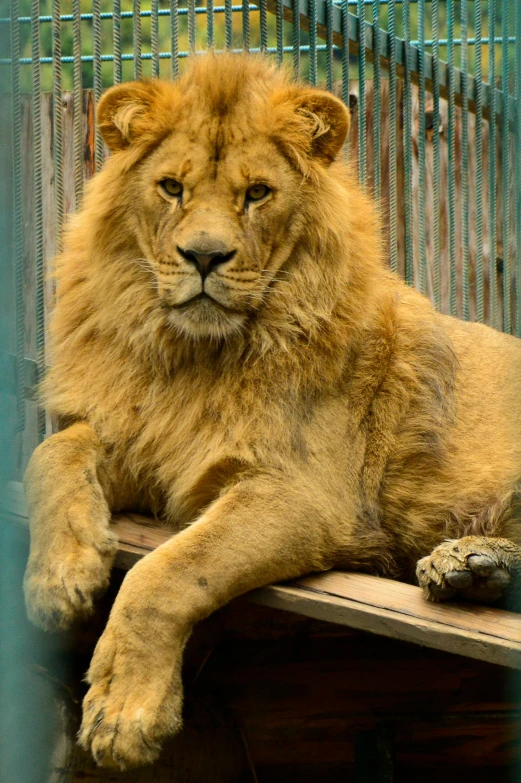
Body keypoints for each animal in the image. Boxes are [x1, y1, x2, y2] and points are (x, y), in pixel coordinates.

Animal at [23, 56, 520, 772]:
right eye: (171, 188)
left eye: (257, 193)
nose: (204, 256)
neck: (194, 359)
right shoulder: (144, 443)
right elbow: (53, 452)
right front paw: (60, 578)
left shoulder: (304, 494)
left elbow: (167, 572)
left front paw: (125, 714)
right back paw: (470, 570)